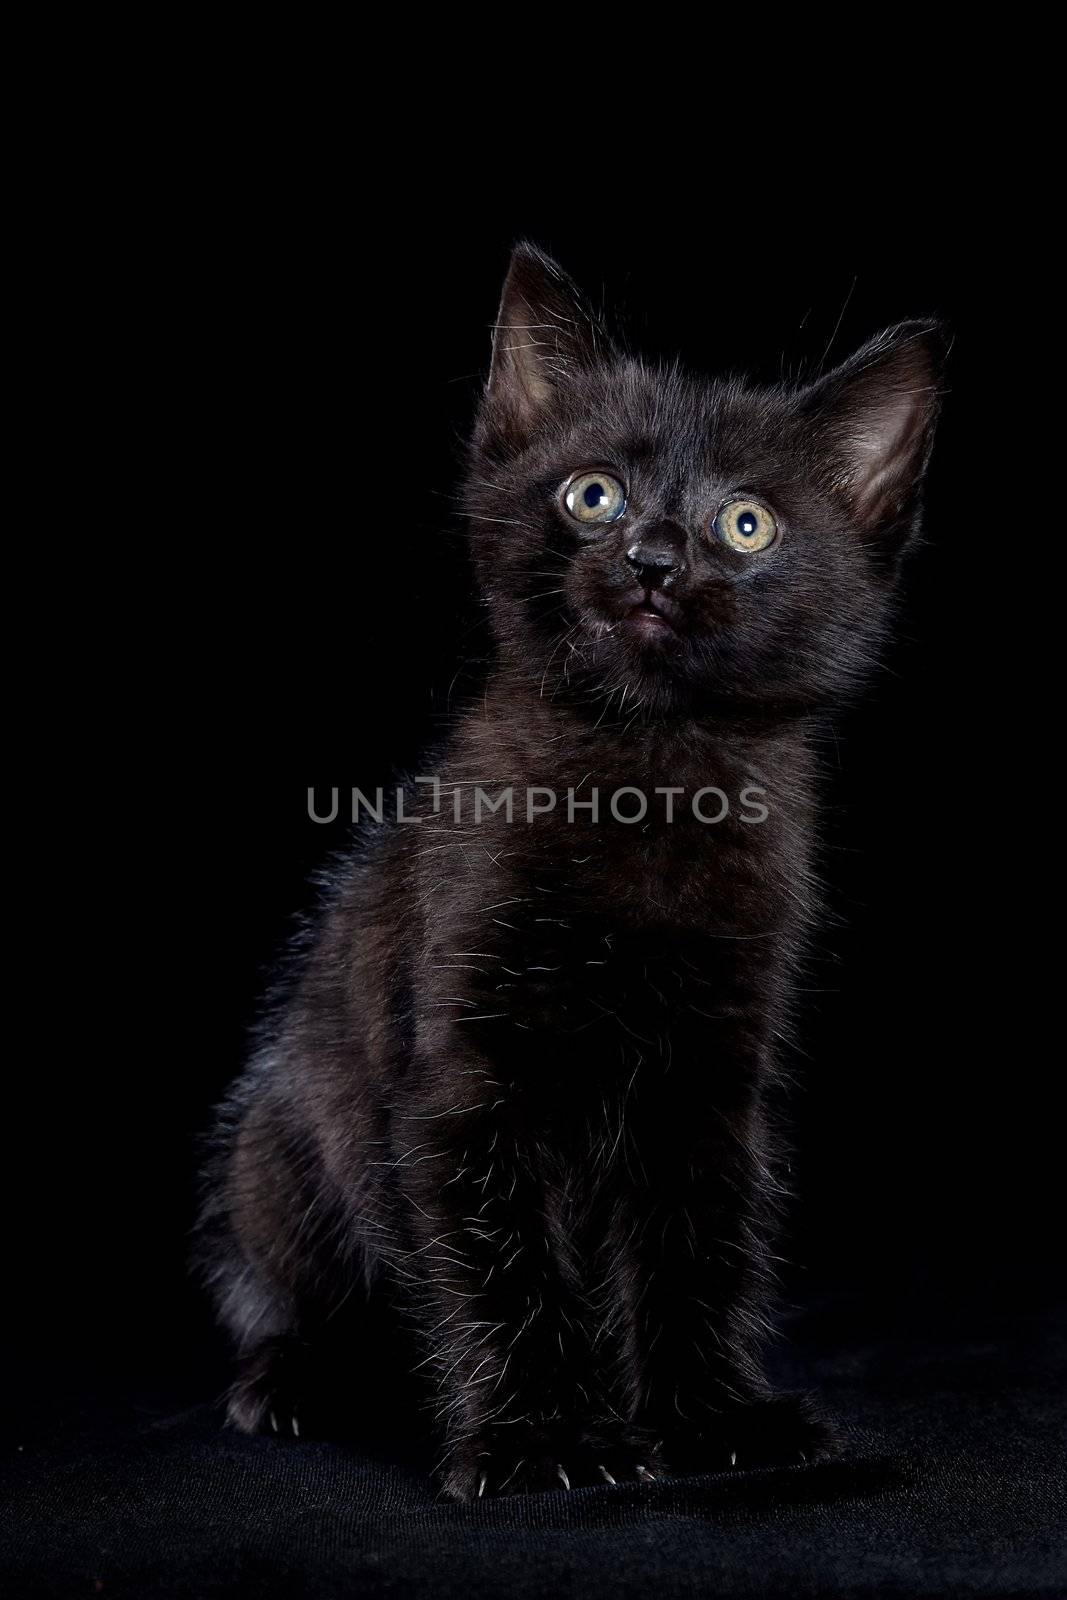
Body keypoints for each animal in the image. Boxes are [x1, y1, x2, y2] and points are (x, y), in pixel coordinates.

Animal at [198, 246, 940, 1497]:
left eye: (745, 524)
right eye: (591, 494)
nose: (651, 558)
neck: (642, 777)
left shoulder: (709, 1073)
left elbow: (694, 1242)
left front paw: (707, 1416)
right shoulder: (465, 1075)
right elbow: (502, 1261)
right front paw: (538, 1436)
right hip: (272, 1149)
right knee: (282, 1294)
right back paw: (292, 1380)